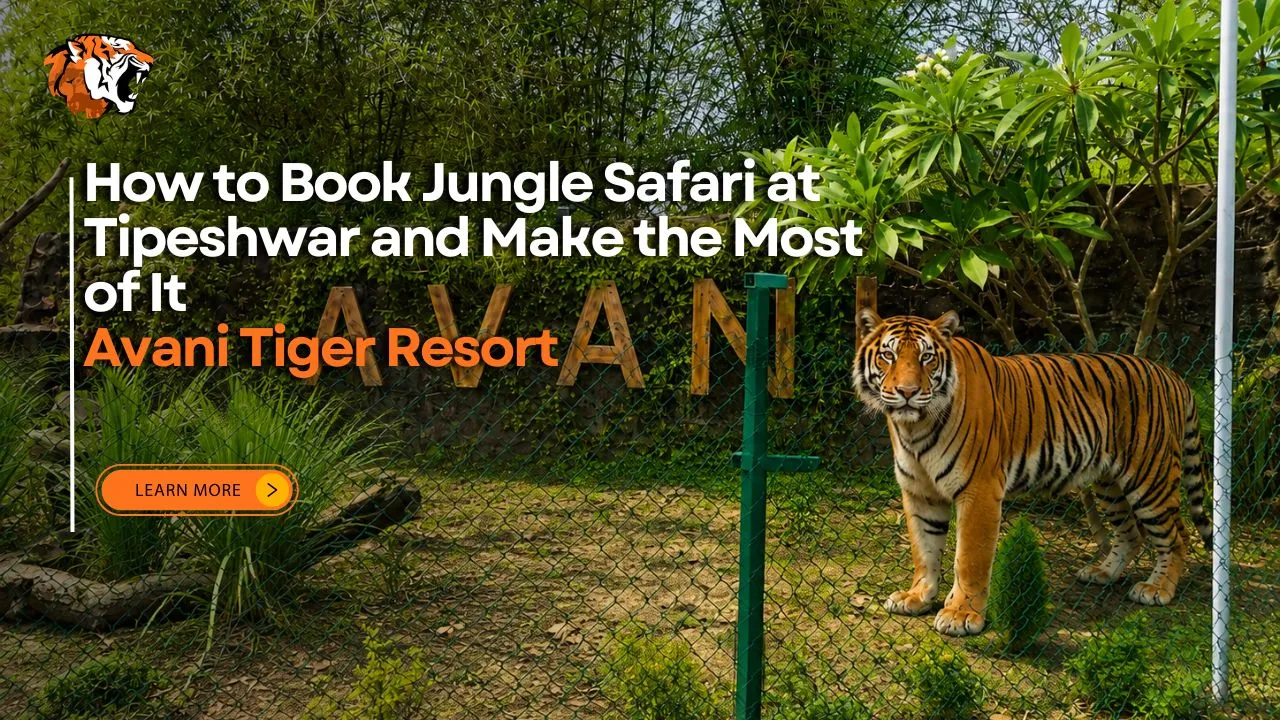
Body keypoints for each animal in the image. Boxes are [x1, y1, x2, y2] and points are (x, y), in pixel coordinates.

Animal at [852, 309, 1211, 637]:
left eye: (926, 357)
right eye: (888, 355)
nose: (908, 392)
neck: (915, 427)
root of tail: (1172, 375)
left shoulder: (979, 490)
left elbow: (969, 558)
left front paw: (962, 614)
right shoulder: (920, 492)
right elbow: (924, 550)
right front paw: (918, 596)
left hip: (1150, 478)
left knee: (1177, 536)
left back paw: (1157, 589)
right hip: (1110, 483)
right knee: (1130, 533)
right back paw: (1104, 573)